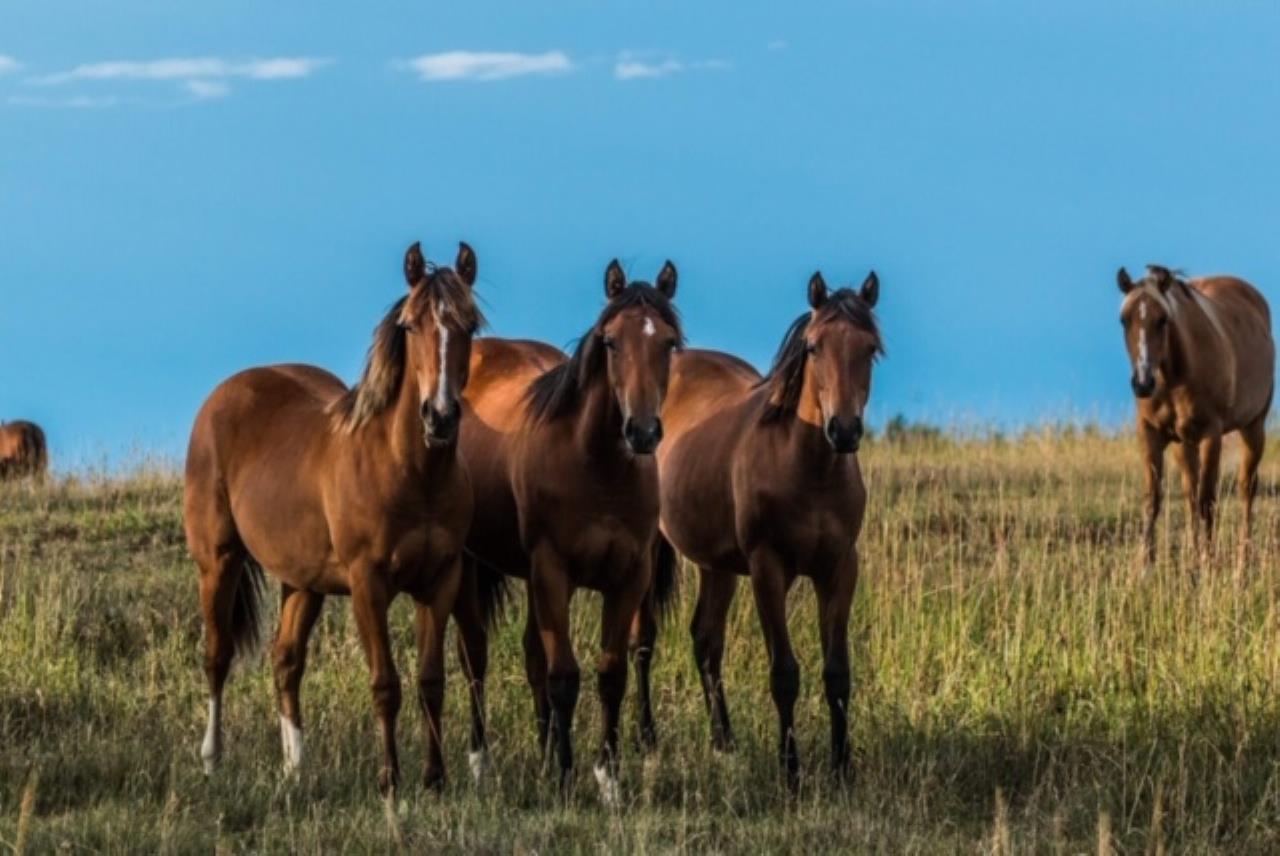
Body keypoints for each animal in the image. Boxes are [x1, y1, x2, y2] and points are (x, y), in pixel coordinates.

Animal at [183, 241, 482, 795]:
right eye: (411, 325)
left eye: (470, 325)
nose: (440, 417)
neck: (411, 473)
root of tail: (223, 396)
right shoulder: (368, 584)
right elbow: (386, 684)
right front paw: (389, 781)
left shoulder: (440, 580)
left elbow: (431, 682)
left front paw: (435, 779)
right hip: (218, 561)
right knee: (217, 655)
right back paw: (212, 759)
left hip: (303, 582)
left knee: (285, 661)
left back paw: (295, 766)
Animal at [450, 259, 682, 803]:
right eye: (611, 342)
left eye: (668, 343)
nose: (642, 431)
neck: (595, 467)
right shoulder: (553, 572)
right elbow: (563, 677)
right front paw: (564, 777)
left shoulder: (630, 578)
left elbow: (610, 674)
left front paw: (607, 778)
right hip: (474, 567)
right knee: (475, 658)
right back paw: (481, 763)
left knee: (532, 656)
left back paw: (540, 754)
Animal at [643, 269, 882, 789]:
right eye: (814, 346)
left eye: (871, 348)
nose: (844, 431)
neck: (808, 469)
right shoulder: (768, 570)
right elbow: (785, 675)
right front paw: (791, 772)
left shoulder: (840, 569)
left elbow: (838, 673)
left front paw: (842, 769)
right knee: (642, 639)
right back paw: (645, 738)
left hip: (717, 567)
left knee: (705, 640)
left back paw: (724, 741)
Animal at [1117, 264, 1273, 563]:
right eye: (1124, 320)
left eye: (1163, 319)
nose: (1143, 383)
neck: (1173, 377)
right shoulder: (1150, 433)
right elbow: (1153, 499)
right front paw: (1144, 564)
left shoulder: (1211, 435)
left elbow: (1207, 501)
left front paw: (1208, 561)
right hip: (1184, 443)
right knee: (1190, 490)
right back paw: (1193, 550)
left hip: (1253, 428)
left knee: (1246, 488)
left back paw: (1243, 557)